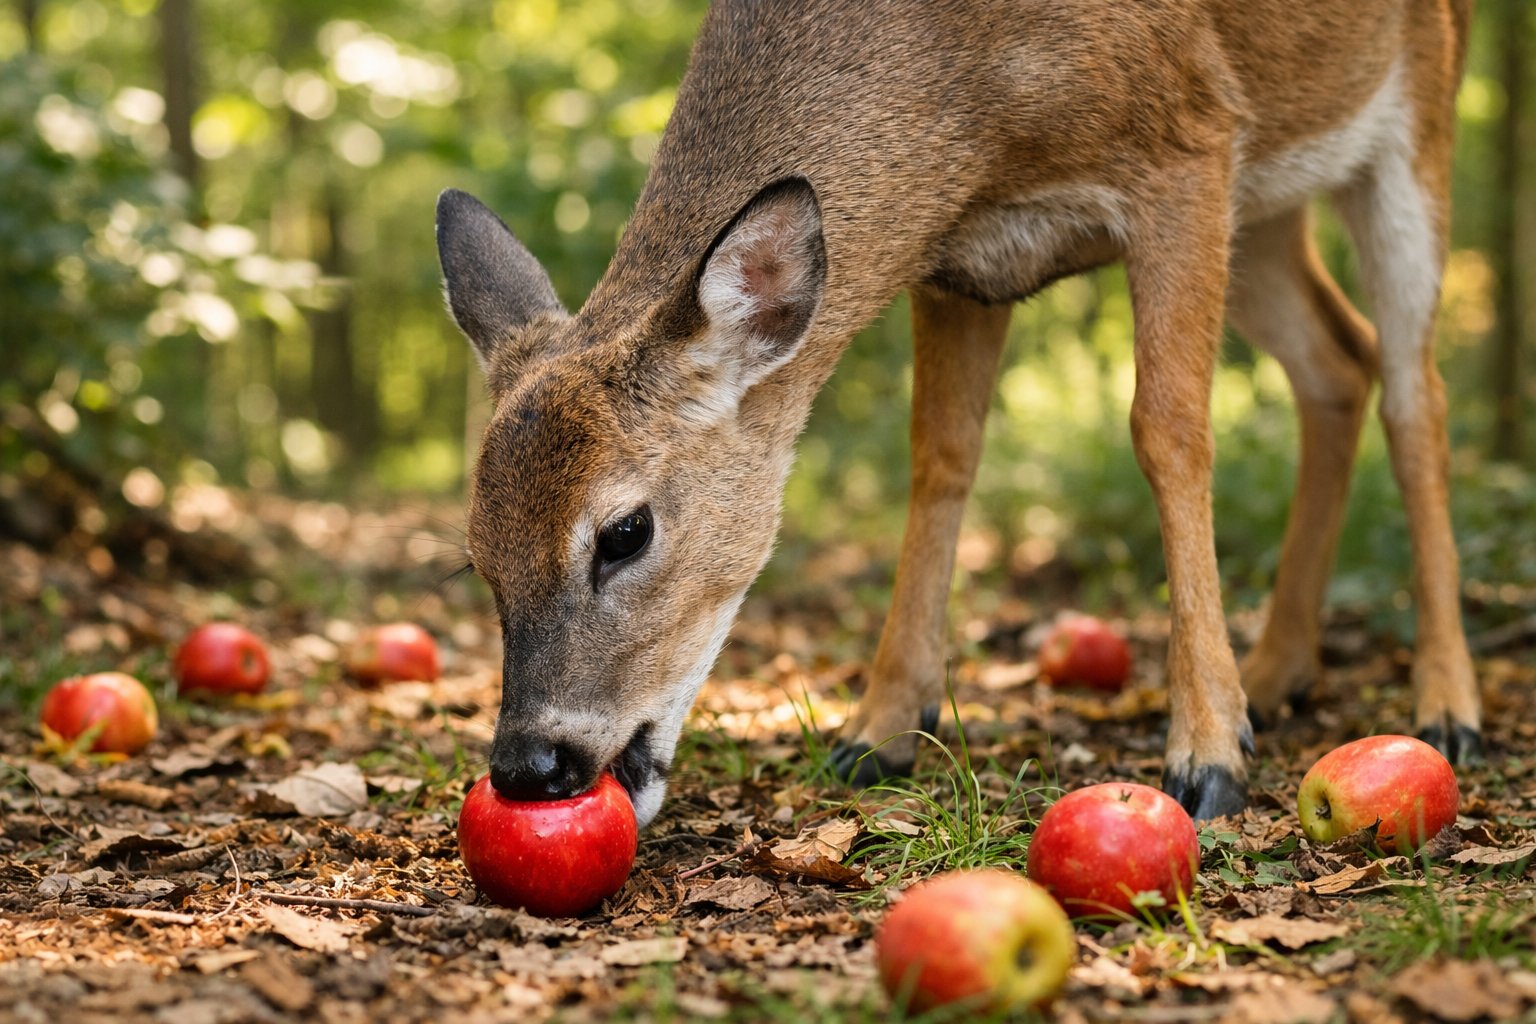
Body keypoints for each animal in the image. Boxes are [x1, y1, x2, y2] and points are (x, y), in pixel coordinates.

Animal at [435, 0, 1479, 827]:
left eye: (625, 532)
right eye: (477, 556)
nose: (529, 765)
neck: (970, 109)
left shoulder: (1190, 139)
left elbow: (1169, 430)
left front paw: (1208, 755)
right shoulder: (961, 258)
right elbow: (940, 455)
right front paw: (881, 728)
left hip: (1411, 120)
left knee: (1414, 391)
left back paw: (1445, 705)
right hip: (1266, 207)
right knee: (1339, 361)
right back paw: (1275, 670)